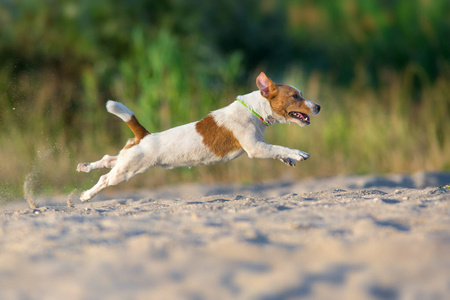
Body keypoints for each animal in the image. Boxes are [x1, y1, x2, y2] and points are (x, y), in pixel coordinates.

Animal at [77, 71, 320, 200]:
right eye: (295, 96)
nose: (318, 106)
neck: (255, 109)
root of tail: (144, 135)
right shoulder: (255, 148)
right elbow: (278, 147)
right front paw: (298, 154)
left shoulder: (260, 145)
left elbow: (277, 150)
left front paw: (288, 159)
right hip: (127, 171)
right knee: (105, 178)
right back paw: (86, 195)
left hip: (126, 159)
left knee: (108, 159)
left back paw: (84, 166)